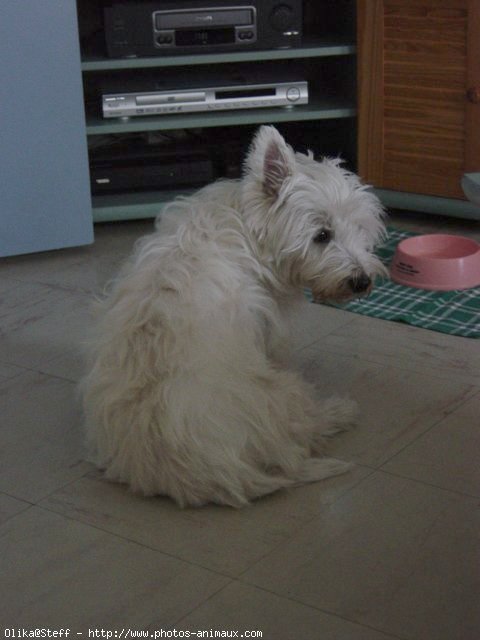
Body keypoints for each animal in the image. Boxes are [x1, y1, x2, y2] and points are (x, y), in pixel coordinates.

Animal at [80, 124, 384, 504]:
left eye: (359, 228)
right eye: (322, 235)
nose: (361, 281)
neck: (250, 232)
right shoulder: (269, 331)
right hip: (282, 390)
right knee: (302, 429)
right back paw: (339, 412)